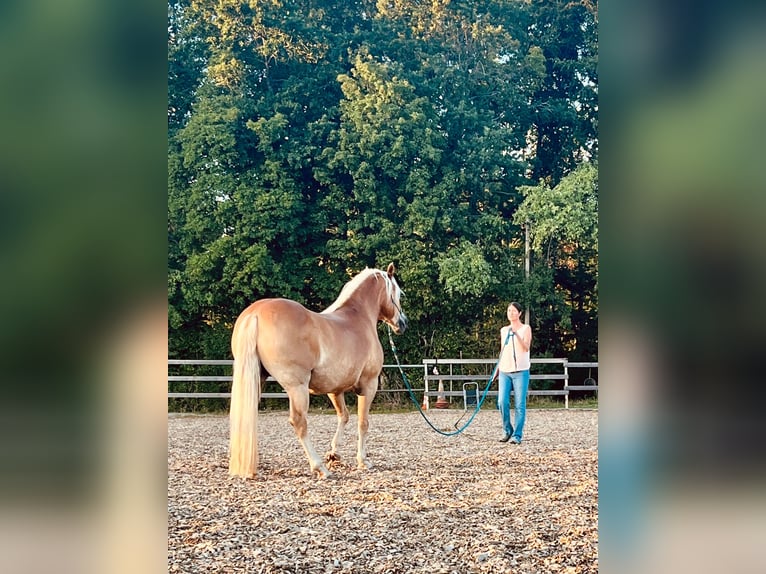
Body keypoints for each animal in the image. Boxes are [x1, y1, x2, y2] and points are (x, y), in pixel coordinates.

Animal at [228, 263, 408, 479]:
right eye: (397, 293)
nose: (403, 324)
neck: (358, 317)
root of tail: (255, 313)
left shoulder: (335, 389)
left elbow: (344, 416)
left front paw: (334, 454)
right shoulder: (368, 385)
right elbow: (363, 422)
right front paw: (363, 461)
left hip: (257, 381)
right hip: (297, 387)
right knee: (299, 422)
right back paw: (319, 467)